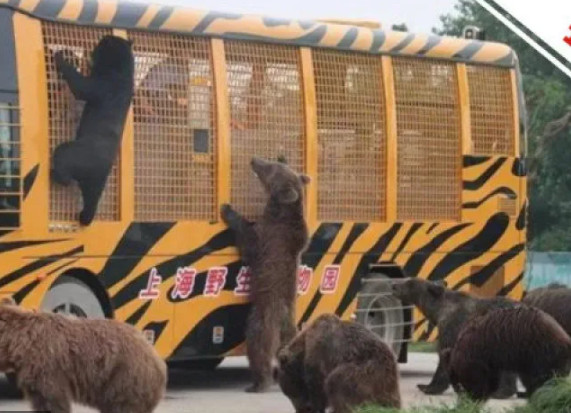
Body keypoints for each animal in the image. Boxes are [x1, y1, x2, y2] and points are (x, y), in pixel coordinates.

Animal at [52, 36, 135, 225]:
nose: (96, 44)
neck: (121, 70)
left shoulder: (104, 85)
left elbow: (82, 87)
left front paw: (61, 57)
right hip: (98, 182)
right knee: (92, 199)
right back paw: (84, 217)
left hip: (77, 155)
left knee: (62, 156)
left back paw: (58, 176)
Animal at [221, 156, 310, 392]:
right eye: (271, 163)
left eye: (269, 169)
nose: (254, 159)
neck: (281, 211)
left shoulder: (270, 237)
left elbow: (248, 241)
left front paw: (227, 209)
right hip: (290, 330)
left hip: (263, 316)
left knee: (258, 345)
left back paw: (258, 383)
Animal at [392, 276, 520, 396]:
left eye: (410, 283)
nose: (394, 285)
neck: (438, 312)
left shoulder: (452, 327)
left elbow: (445, 355)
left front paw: (428, 387)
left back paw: (501, 392)